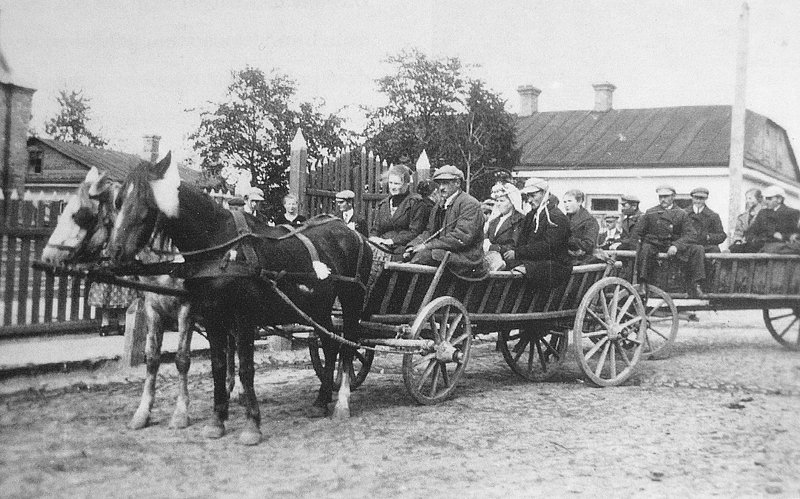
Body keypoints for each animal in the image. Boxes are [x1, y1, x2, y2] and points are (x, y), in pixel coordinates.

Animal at [40, 167, 197, 430]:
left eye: (80, 215)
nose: (47, 258)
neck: (169, 259)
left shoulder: (187, 308)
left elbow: (182, 359)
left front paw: (181, 413)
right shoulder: (153, 307)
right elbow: (152, 359)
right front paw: (142, 413)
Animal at [108, 152, 372, 446]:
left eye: (145, 206)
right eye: (118, 201)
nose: (114, 252)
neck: (220, 246)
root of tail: (353, 234)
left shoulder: (242, 316)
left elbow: (245, 367)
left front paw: (251, 425)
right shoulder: (212, 316)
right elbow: (218, 365)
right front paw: (217, 420)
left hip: (351, 301)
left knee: (348, 345)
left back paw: (342, 403)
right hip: (319, 308)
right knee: (330, 344)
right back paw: (321, 400)